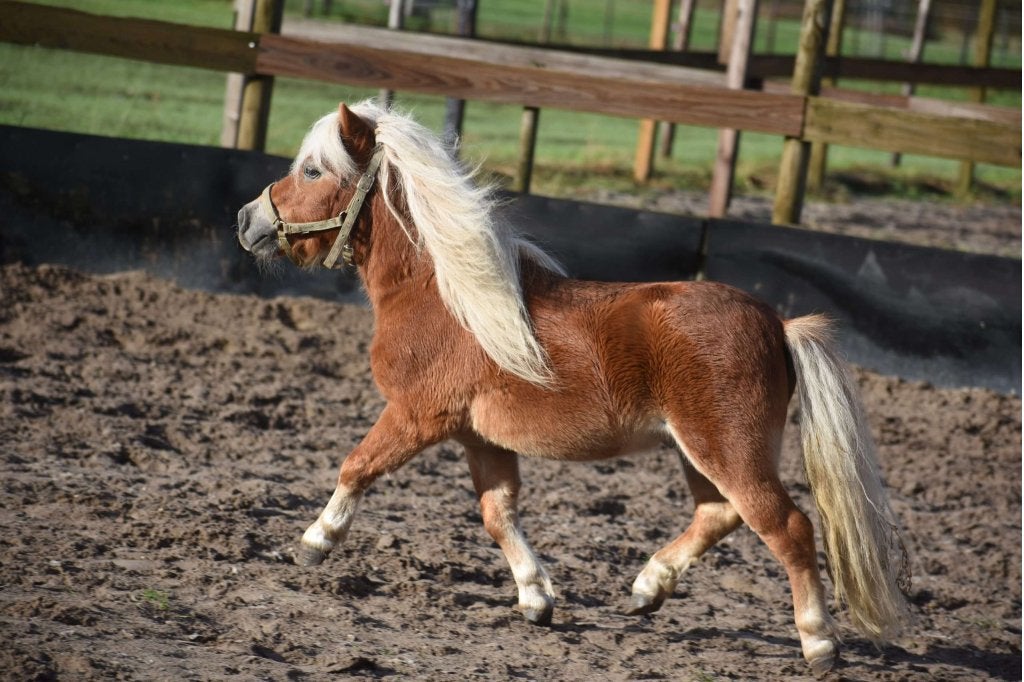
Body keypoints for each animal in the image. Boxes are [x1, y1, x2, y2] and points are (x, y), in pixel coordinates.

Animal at [236, 99, 909, 675]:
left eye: (313, 169)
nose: (247, 220)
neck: (444, 297)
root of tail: (778, 324)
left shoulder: (416, 416)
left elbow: (356, 466)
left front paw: (313, 543)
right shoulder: (479, 438)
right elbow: (497, 514)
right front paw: (536, 599)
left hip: (728, 447)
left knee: (788, 528)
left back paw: (818, 643)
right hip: (700, 451)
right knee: (719, 514)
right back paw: (646, 589)